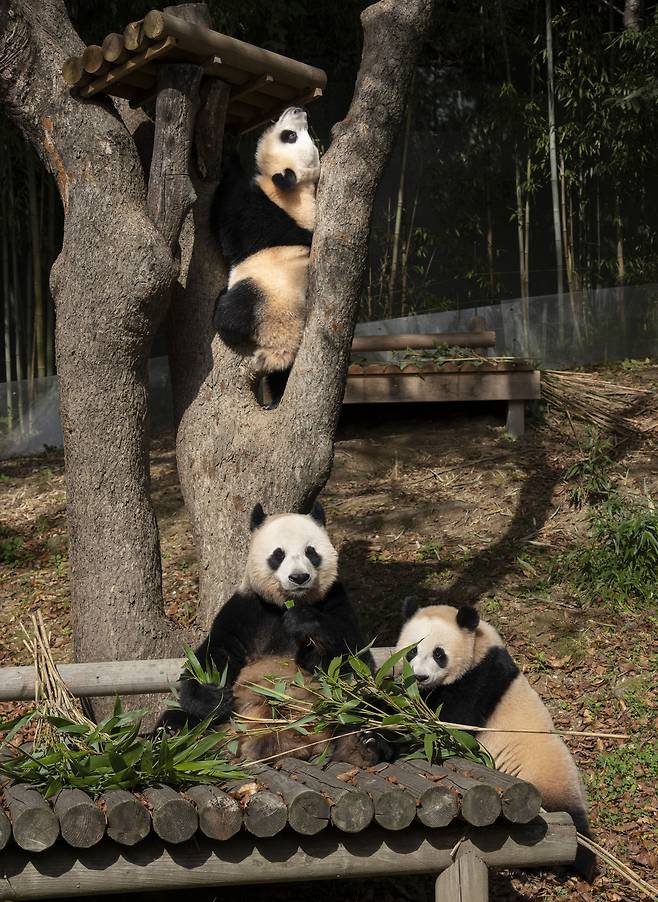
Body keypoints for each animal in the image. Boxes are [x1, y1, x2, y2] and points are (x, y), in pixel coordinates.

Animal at [160, 504, 384, 768]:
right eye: (279, 554)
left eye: (311, 552)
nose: (299, 577)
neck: (285, 604)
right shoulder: (246, 610)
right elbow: (214, 654)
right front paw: (213, 696)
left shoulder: (335, 600)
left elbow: (353, 656)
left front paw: (304, 626)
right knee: (178, 718)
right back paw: (174, 739)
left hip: (344, 709)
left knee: (370, 705)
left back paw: (365, 743)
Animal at [211, 107, 320, 400]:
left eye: (289, 136)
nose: (299, 110)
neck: (296, 190)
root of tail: (280, 348)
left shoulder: (265, 214)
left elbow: (229, 227)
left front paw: (229, 151)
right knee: (280, 378)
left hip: (263, 298)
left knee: (232, 316)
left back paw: (220, 307)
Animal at [392, 600, 596, 884]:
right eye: (412, 651)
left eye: (438, 654)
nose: (420, 678)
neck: (478, 646)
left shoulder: (477, 682)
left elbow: (448, 725)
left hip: (544, 784)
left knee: (567, 828)